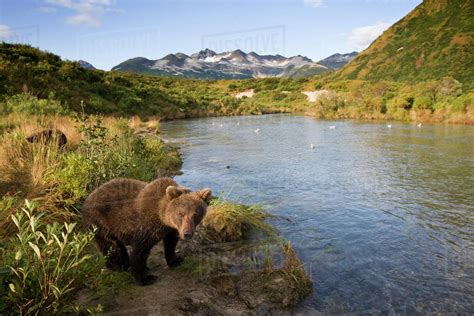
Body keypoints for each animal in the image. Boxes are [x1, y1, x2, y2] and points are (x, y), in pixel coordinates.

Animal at [81, 177, 211, 286]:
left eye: (195, 214)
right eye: (181, 213)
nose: (187, 233)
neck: (161, 217)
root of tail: (87, 198)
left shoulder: (171, 229)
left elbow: (170, 243)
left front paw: (176, 260)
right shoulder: (145, 227)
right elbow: (140, 250)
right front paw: (144, 278)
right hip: (101, 222)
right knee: (111, 246)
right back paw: (120, 266)